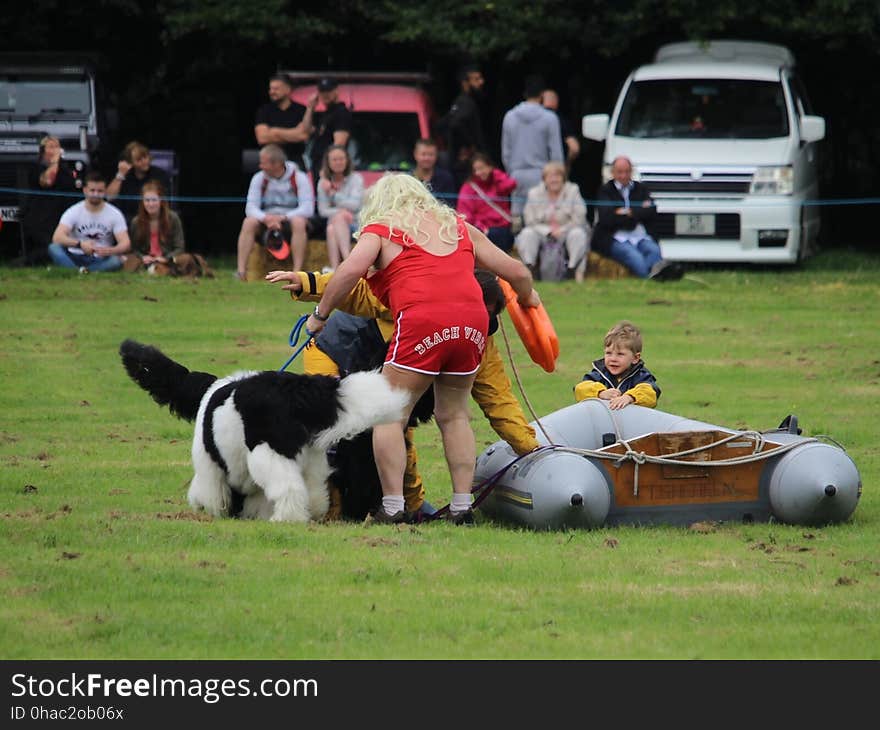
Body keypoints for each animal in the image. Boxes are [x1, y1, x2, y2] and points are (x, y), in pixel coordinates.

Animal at [118, 338, 410, 520]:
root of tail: (293, 389)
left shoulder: (208, 464)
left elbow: (210, 489)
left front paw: (210, 509)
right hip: (312, 458)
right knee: (314, 489)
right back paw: (312, 514)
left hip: (268, 452)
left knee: (288, 487)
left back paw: (286, 518)